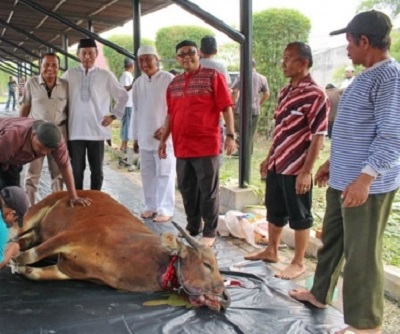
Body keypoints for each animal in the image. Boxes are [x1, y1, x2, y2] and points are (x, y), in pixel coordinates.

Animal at [10, 190, 231, 314]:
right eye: (207, 264)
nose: (223, 293)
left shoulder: (68, 269)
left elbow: (32, 272)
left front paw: (21, 268)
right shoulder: (71, 235)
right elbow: (30, 256)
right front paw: (14, 261)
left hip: (39, 231)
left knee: (27, 239)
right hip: (36, 210)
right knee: (16, 229)